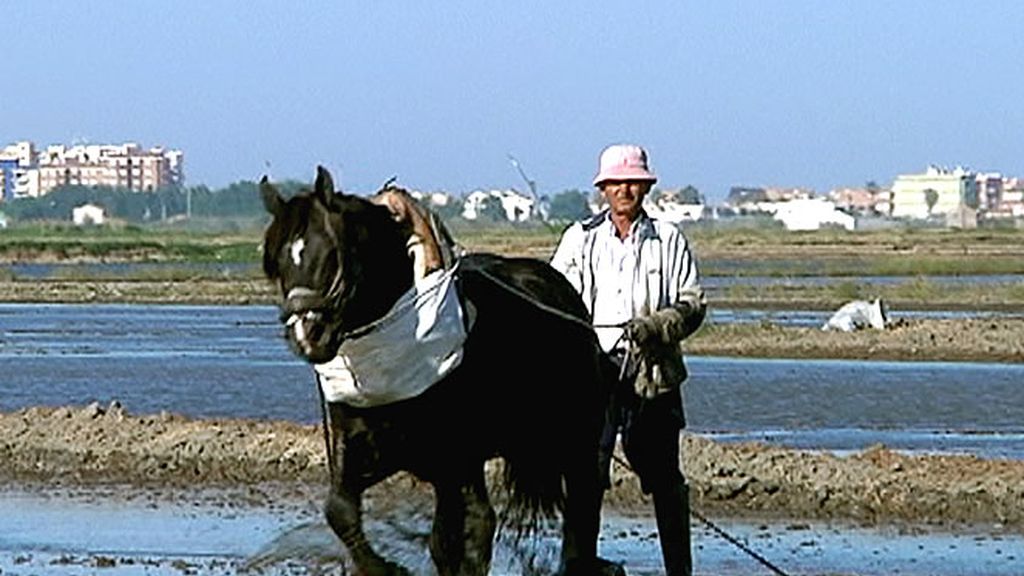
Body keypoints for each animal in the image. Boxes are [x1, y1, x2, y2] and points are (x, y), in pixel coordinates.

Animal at [260, 166, 623, 576]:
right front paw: (384, 568)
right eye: (274, 262)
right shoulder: (363, 453)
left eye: (332, 252)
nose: (306, 333)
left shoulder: (457, 461)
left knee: (580, 499)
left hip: (576, 434)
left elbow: (471, 530)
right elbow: (340, 511)